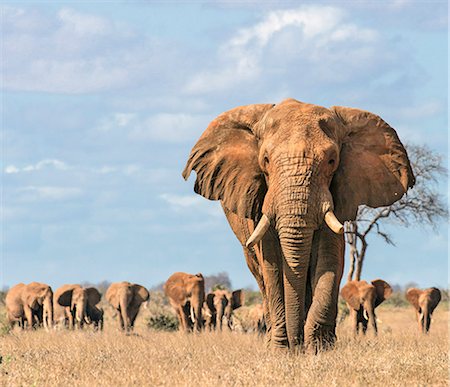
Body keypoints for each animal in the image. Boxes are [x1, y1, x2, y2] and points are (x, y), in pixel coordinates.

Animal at [181, 98, 414, 354]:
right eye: (265, 160)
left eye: (332, 161)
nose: (296, 345)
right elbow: (271, 263)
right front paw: (281, 350)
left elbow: (329, 256)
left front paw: (317, 348)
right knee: (260, 275)